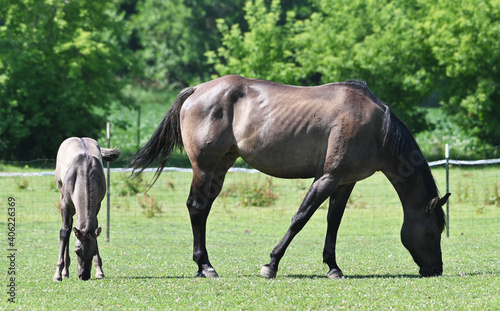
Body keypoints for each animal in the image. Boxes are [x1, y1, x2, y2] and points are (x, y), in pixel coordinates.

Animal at [53, 138, 120, 282]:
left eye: (93, 251)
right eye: (77, 251)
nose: (84, 275)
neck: (84, 171)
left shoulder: (97, 205)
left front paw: (99, 271)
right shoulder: (65, 204)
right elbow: (64, 232)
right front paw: (58, 274)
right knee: (68, 230)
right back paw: (65, 272)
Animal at [131, 75, 452, 280]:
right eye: (431, 231)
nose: (436, 269)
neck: (376, 128)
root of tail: (197, 89)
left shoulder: (345, 181)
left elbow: (333, 223)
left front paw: (333, 267)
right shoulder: (327, 177)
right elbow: (301, 218)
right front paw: (271, 264)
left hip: (220, 167)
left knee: (203, 209)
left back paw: (204, 265)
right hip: (205, 167)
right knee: (197, 208)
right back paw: (205, 266)